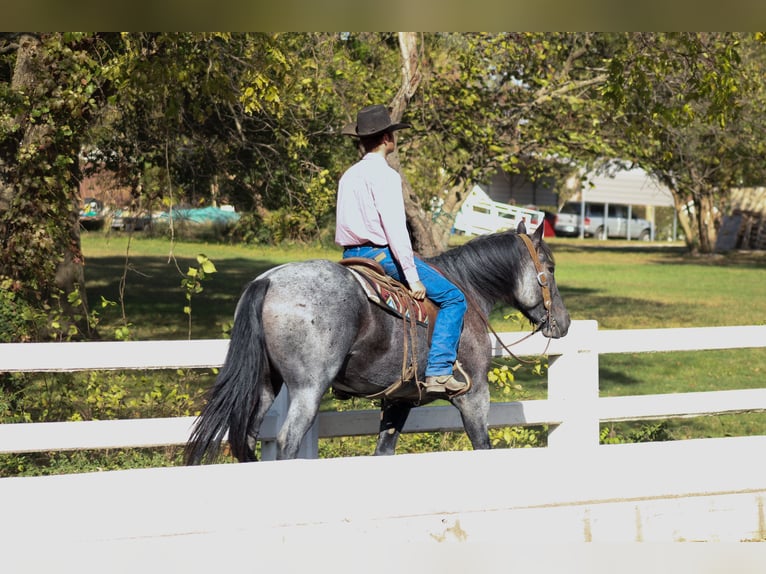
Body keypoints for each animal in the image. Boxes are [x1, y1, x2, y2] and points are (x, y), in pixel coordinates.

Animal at [184, 221, 570, 464]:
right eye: (550, 268)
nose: (563, 323)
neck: (468, 291)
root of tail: (268, 281)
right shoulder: (474, 396)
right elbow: (482, 445)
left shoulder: (399, 399)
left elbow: (384, 451)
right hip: (308, 388)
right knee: (286, 441)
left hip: (266, 385)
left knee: (248, 437)